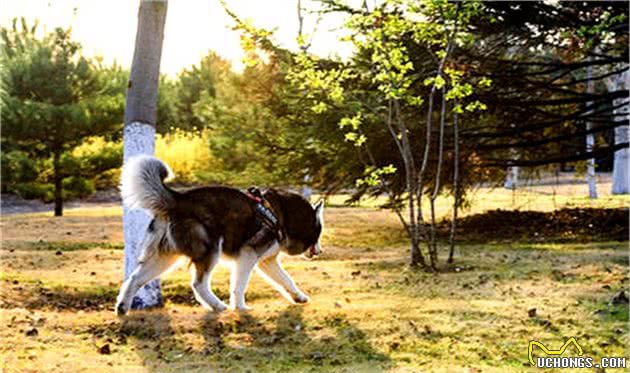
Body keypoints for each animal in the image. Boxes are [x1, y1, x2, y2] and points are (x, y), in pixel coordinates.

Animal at [115, 155, 326, 314]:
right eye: (318, 234)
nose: (320, 252)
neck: (282, 215)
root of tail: (178, 198)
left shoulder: (267, 261)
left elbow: (286, 279)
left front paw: (298, 296)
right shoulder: (248, 255)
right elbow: (239, 285)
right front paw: (240, 307)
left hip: (164, 258)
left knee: (134, 279)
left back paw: (122, 307)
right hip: (210, 249)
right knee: (199, 285)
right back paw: (217, 306)